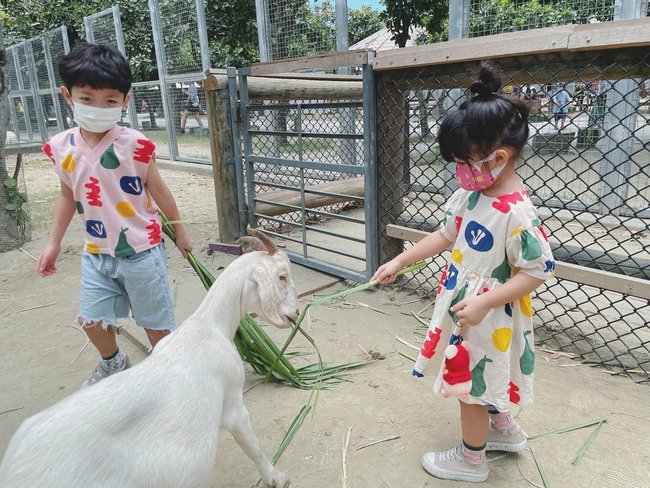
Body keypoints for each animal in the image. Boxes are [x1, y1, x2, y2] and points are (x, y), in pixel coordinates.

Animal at [0, 230, 298, 488]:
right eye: (282, 276)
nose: (295, 314)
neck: (207, 326)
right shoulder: (233, 402)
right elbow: (254, 446)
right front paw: (276, 477)